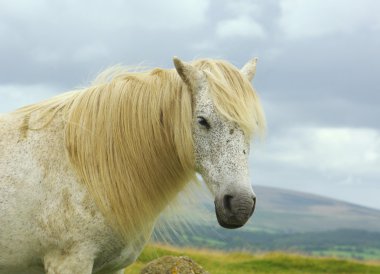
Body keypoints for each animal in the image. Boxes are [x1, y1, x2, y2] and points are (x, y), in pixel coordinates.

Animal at [0, 56, 266, 272]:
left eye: (251, 124)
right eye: (202, 121)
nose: (240, 205)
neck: (89, 168)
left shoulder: (113, 268)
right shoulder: (69, 262)